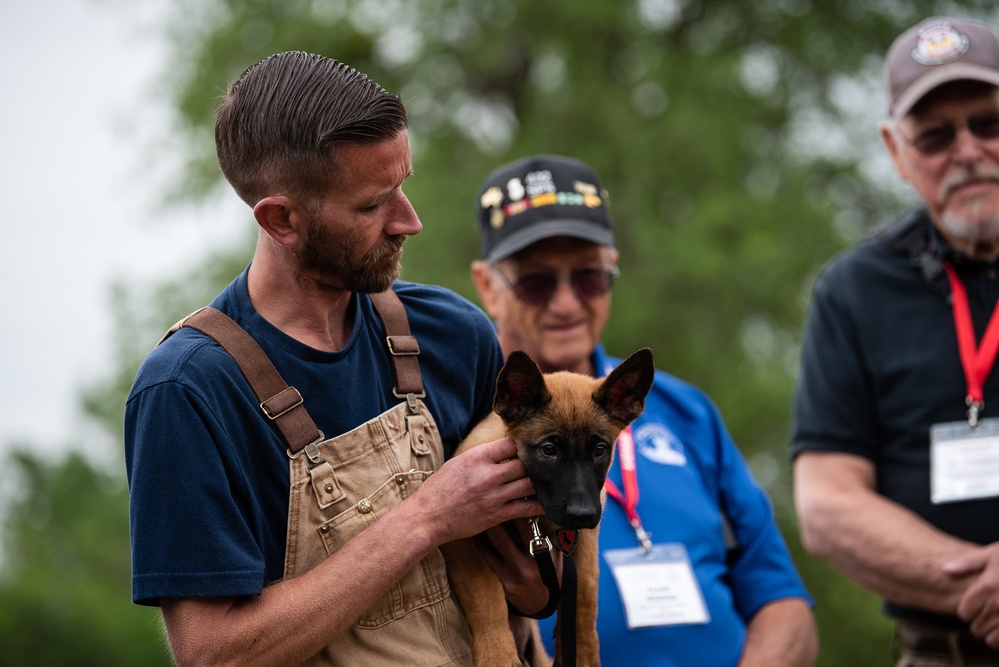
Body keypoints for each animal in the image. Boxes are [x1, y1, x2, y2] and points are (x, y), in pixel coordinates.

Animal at [446, 350, 656, 667]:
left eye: (600, 450)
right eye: (548, 450)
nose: (582, 516)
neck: (532, 513)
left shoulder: (584, 543)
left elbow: (585, 592)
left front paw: (582, 651)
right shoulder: (460, 537)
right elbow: (485, 589)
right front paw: (497, 652)